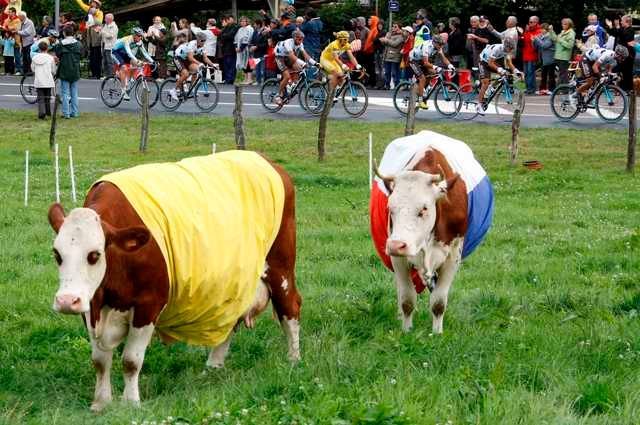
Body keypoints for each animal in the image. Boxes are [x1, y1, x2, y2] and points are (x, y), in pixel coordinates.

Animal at [47, 155, 302, 408]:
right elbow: (100, 361)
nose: (66, 301)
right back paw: (214, 366)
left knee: (290, 306)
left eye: (94, 255)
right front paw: (100, 403)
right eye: (57, 254)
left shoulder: (148, 305)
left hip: (280, 267)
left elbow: (131, 360)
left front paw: (131, 403)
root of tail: (268, 162)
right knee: (230, 320)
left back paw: (293, 359)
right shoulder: (91, 306)